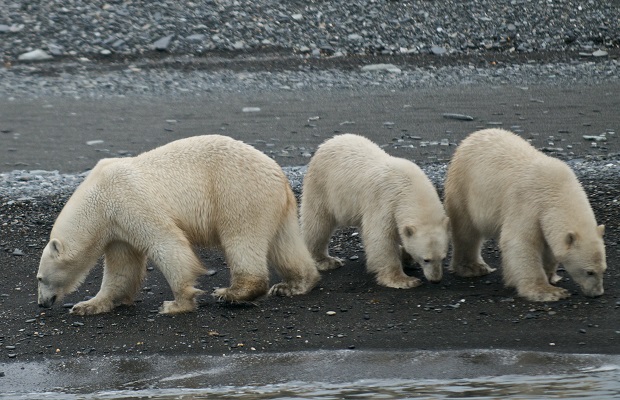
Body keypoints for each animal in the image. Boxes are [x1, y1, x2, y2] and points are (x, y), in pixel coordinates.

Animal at [37, 135, 320, 316]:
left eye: (40, 277)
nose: (41, 303)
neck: (98, 199)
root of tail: (278, 174)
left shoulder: (129, 200)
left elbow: (167, 243)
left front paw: (175, 304)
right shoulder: (117, 229)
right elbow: (121, 268)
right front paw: (87, 305)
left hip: (237, 194)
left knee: (242, 239)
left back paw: (233, 292)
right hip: (276, 206)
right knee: (285, 244)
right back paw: (294, 284)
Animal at [302, 134, 450, 288]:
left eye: (443, 257)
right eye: (426, 259)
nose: (436, 280)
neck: (410, 188)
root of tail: (330, 141)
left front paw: (405, 256)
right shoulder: (385, 201)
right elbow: (381, 238)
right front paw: (404, 280)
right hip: (322, 186)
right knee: (318, 222)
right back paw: (326, 260)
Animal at [446, 130, 604, 302]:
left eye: (603, 269)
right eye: (589, 272)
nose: (597, 293)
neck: (557, 190)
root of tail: (472, 137)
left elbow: (548, 245)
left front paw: (550, 275)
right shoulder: (528, 204)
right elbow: (521, 242)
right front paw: (549, 292)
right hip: (464, 188)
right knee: (466, 230)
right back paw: (472, 267)